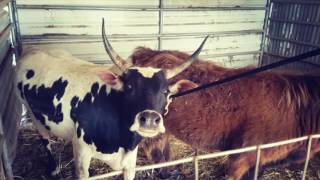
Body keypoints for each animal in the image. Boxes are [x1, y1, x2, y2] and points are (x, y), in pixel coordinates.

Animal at [15, 19, 208, 179]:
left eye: (165, 91)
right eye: (129, 87)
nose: (150, 119)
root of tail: (32, 50)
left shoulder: (130, 163)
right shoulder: (82, 156)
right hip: (31, 113)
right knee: (44, 139)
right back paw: (54, 168)